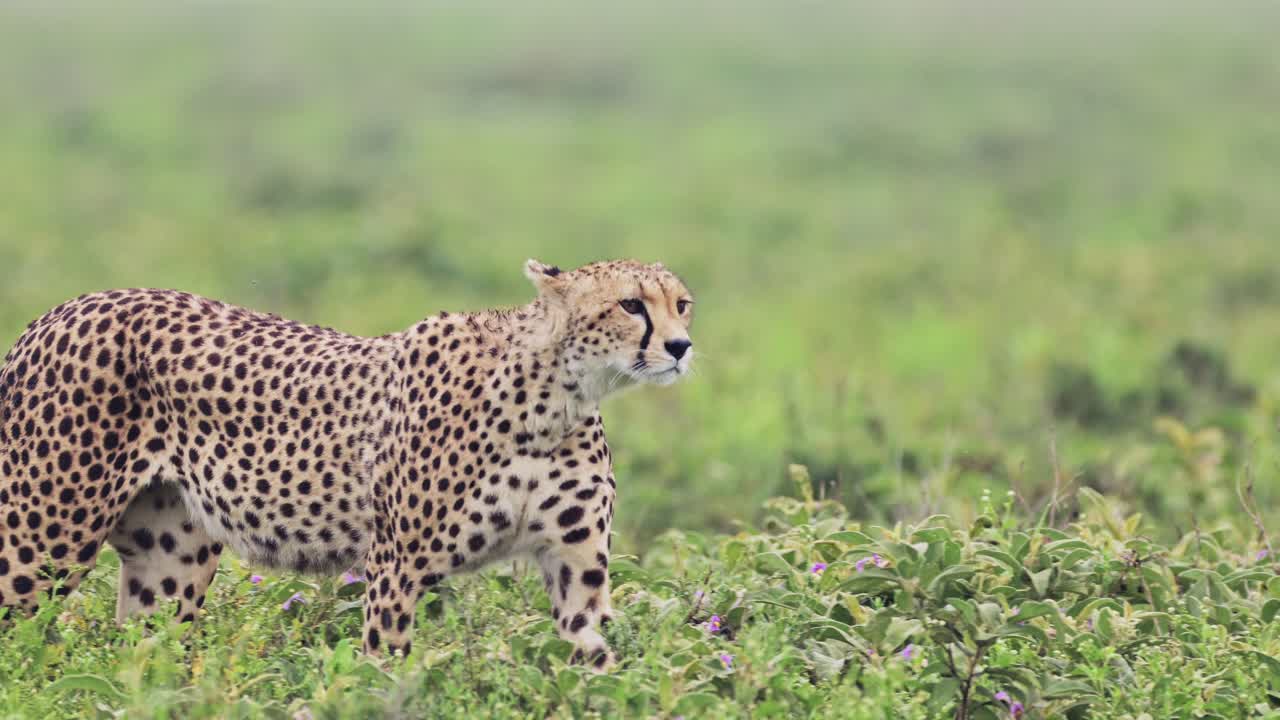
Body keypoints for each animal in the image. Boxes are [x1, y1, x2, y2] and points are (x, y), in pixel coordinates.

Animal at [0, 258, 695, 668]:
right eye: (632, 305)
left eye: (681, 304)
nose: (682, 346)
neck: (556, 398)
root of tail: (64, 308)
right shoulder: (396, 565)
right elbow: (387, 664)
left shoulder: (578, 569)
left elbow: (594, 655)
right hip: (43, 541)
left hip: (169, 562)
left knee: (147, 651)